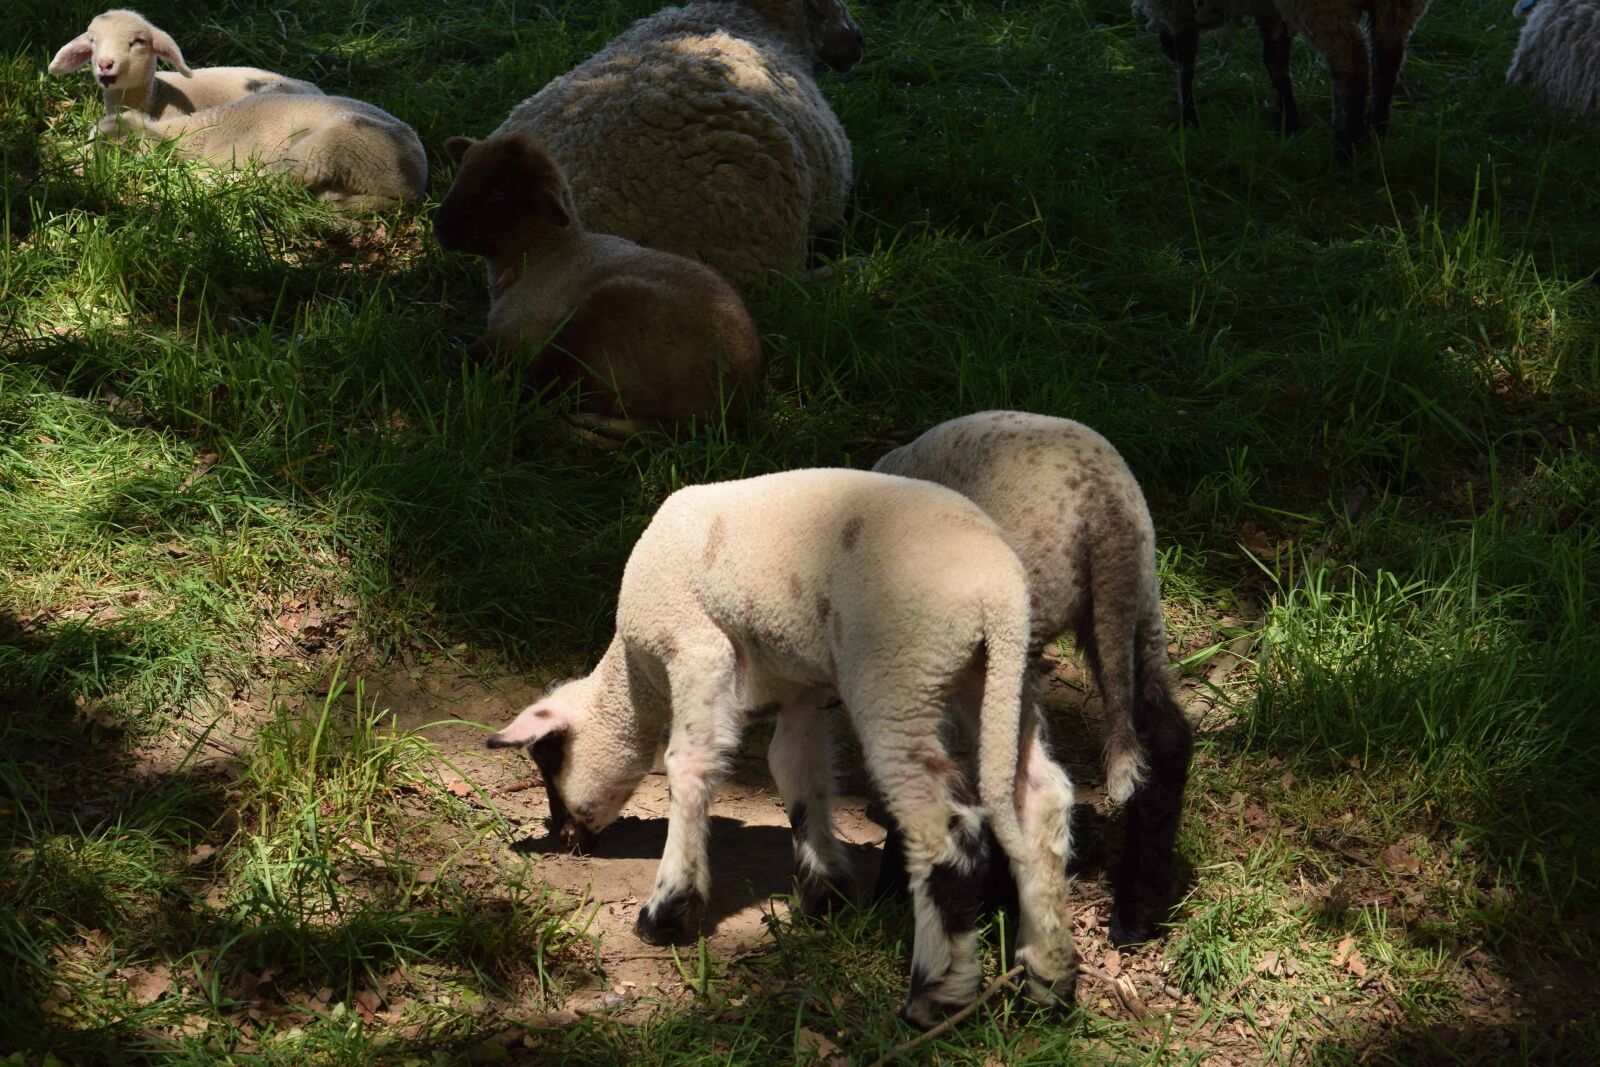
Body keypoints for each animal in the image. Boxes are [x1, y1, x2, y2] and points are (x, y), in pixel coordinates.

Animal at [433, 132, 763, 428]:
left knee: (556, 390)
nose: (439, 225)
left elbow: (466, 357)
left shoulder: (514, 334)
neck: (545, 252)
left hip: (603, 313)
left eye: (499, 188)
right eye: (461, 173)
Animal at [484, 468, 1079, 1028]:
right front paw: (826, 898)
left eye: (547, 758)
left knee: (944, 830)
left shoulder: (696, 646)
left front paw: (667, 912)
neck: (636, 677)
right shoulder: (798, 688)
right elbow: (796, 771)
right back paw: (1047, 982)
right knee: (1040, 797)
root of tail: (999, 594)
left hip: (899, 676)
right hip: (994, 677)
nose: (564, 838)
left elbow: (689, 767)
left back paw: (936, 998)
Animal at [870, 411, 1194, 948]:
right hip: (1137, 608)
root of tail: (1107, 510)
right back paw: (1136, 914)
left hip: (1021, 624)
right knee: (1166, 739)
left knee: (1014, 776)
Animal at [1132, 0, 1434, 156]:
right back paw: (1377, 133)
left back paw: (1345, 148)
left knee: (1352, 64)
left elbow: (1186, 55)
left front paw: (1187, 119)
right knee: (1388, 58)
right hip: (1398, 6)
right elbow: (1275, 57)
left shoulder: (1173, 6)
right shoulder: (1271, 8)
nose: (1163, 45)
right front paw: (1289, 123)